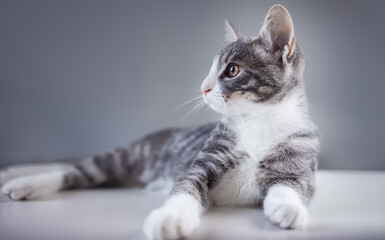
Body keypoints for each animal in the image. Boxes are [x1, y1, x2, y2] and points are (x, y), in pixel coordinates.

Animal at [0, 5, 318, 240]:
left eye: (232, 70)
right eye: (211, 69)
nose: (203, 88)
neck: (259, 120)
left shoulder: (300, 158)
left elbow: (292, 186)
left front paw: (287, 206)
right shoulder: (205, 160)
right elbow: (187, 185)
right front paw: (171, 216)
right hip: (126, 157)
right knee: (76, 169)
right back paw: (24, 180)